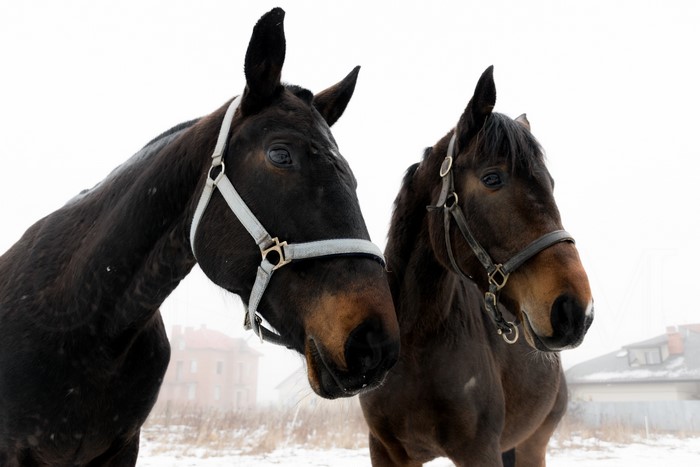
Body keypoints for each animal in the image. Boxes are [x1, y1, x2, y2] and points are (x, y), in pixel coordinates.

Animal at [359, 66, 594, 467]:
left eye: (550, 184)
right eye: (492, 178)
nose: (575, 310)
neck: (416, 344)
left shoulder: (480, 450)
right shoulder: (386, 452)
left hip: (533, 443)